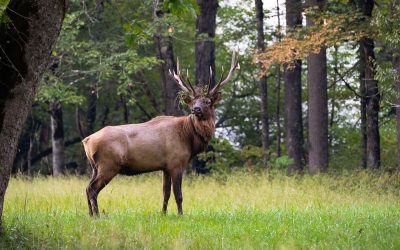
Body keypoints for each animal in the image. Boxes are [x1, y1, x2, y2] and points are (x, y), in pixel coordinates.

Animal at [81, 51, 238, 217]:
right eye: (194, 102)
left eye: (207, 102)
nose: (195, 109)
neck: (189, 138)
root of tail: (87, 140)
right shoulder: (176, 163)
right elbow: (178, 194)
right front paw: (180, 215)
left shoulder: (165, 167)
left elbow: (165, 193)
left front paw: (163, 213)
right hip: (108, 164)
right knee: (92, 189)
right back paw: (97, 215)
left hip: (95, 167)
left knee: (87, 187)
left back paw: (90, 214)